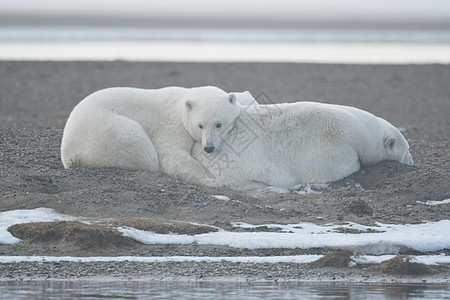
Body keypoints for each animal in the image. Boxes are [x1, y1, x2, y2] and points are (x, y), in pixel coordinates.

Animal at [62, 86, 243, 185]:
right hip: (104, 129)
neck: (180, 105)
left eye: (219, 124)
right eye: (200, 125)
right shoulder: (171, 126)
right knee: (138, 144)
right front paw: (208, 179)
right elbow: (171, 154)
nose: (209, 148)